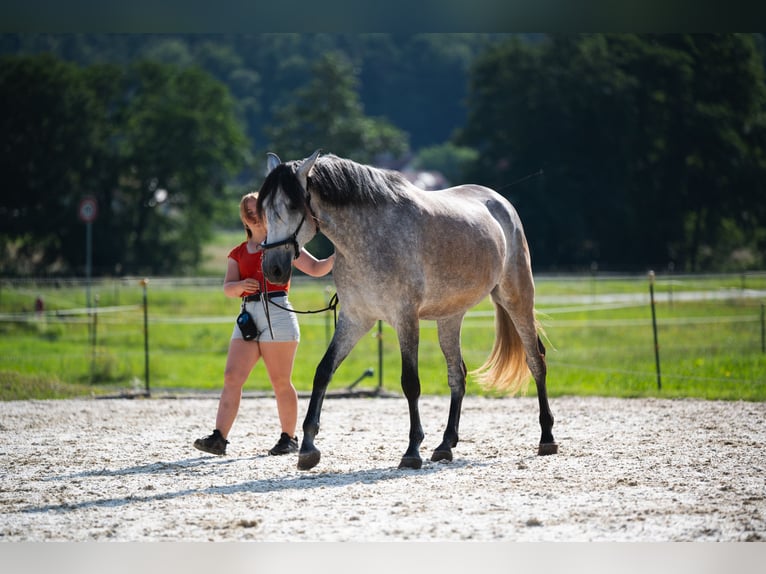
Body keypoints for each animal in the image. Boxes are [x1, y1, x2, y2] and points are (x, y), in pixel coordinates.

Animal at [258, 151, 560, 470]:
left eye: (292, 206)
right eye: (263, 209)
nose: (273, 269)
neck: (369, 238)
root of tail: (501, 203)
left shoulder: (405, 319)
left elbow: (410, 383)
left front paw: (412, 450)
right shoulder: (355, 319)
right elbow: (323, 371)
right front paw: (307, 447)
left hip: (517, 298)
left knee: (536, 361)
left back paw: (547, 437)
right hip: (450, 317)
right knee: (457, 374)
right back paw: (445, 445)